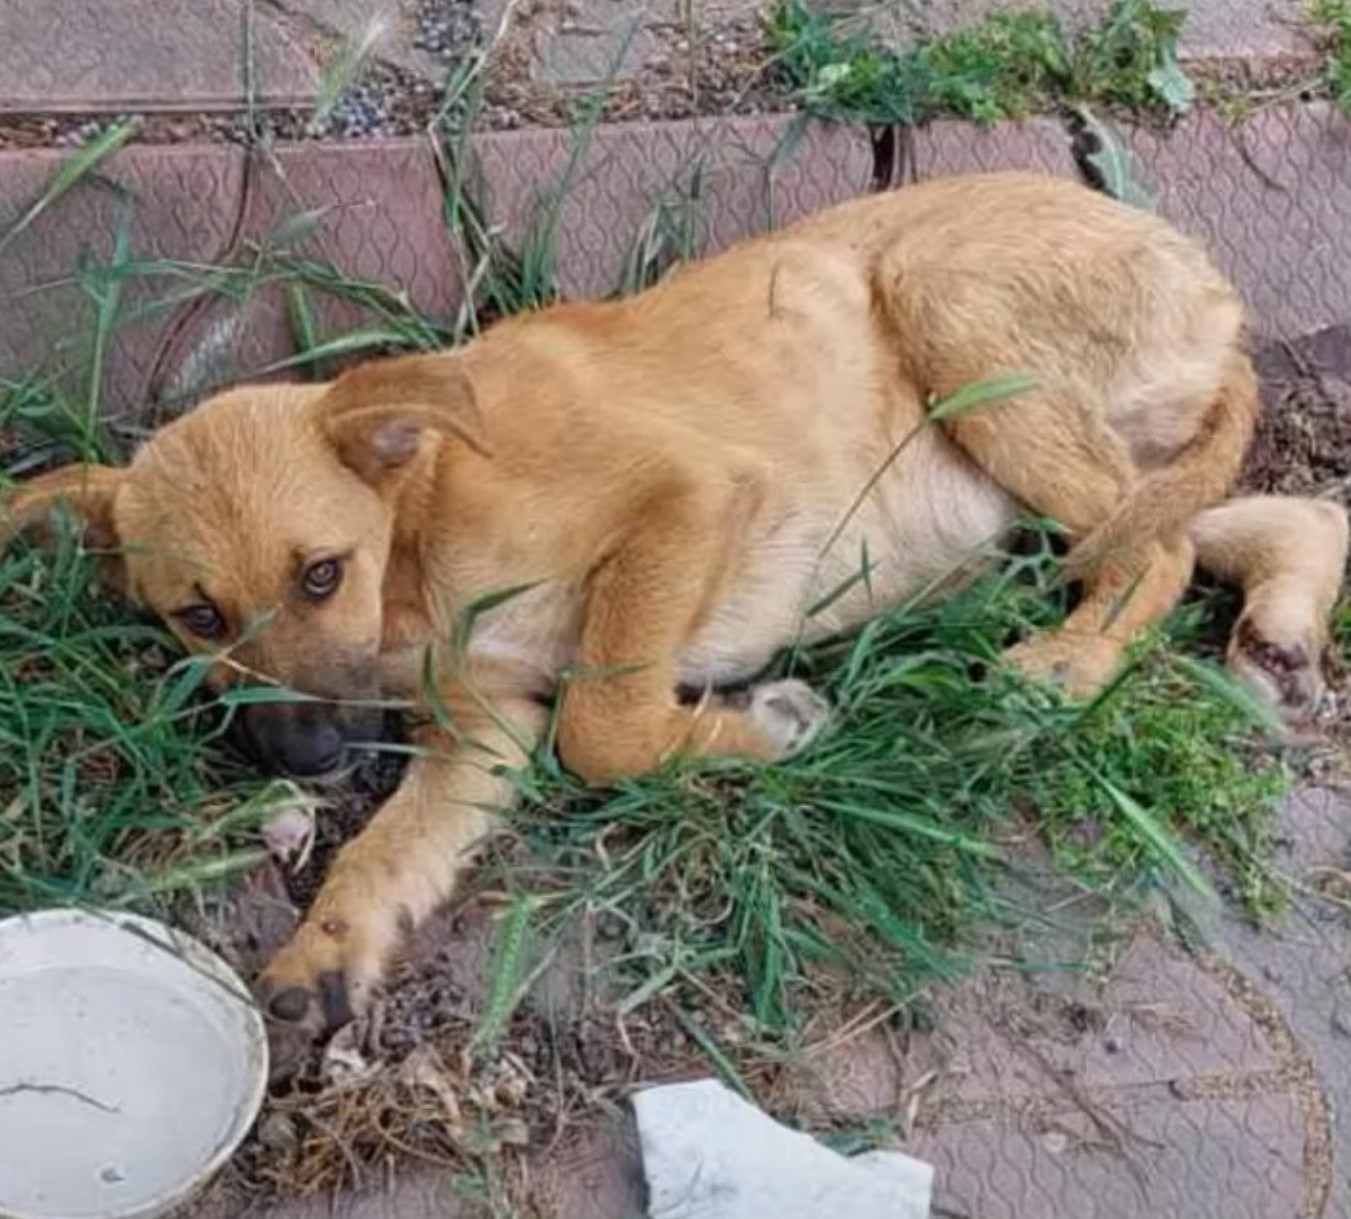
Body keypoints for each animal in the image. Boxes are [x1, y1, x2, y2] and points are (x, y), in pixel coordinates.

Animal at [5, 171, 1345, 1037]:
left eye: (320, 573)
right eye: (195, 617)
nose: (304, 756)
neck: (422, 527)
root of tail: (1213, 286)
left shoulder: (684, 498)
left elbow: (605, 727)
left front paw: (766, 724)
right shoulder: (481, 733)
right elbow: (391, 850)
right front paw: (327, 952)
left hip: (950, 303)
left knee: (1151, 557)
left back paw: (1062, 670)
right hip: (1057, 473)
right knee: (1237, 521)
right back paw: (1280, 617)